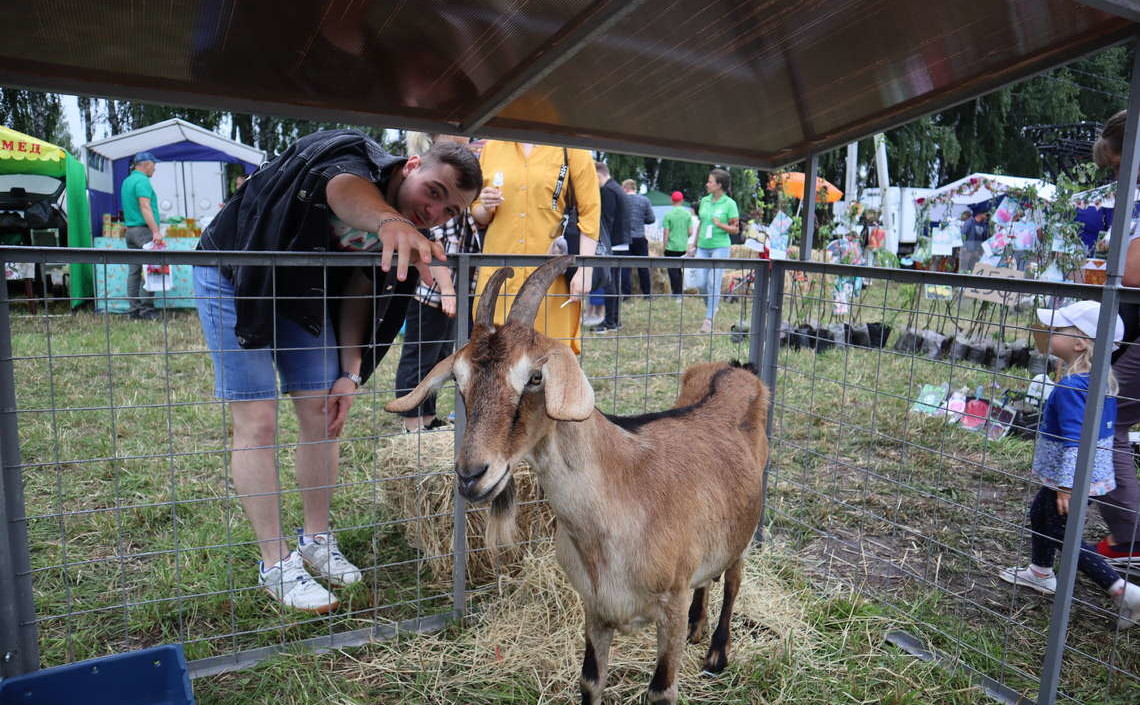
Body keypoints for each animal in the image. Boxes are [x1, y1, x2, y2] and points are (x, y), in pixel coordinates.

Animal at [387, 254, 770, 702]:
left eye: (535, 377)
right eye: (459, 381)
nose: (470, 475)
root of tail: (737, 369)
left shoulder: (669, 605)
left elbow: (661, 690)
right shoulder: (594, 609)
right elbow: (590, 679)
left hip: (744, 531)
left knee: (733, 581)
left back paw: (716, 653)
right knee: (709, 577)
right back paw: (698, 626)